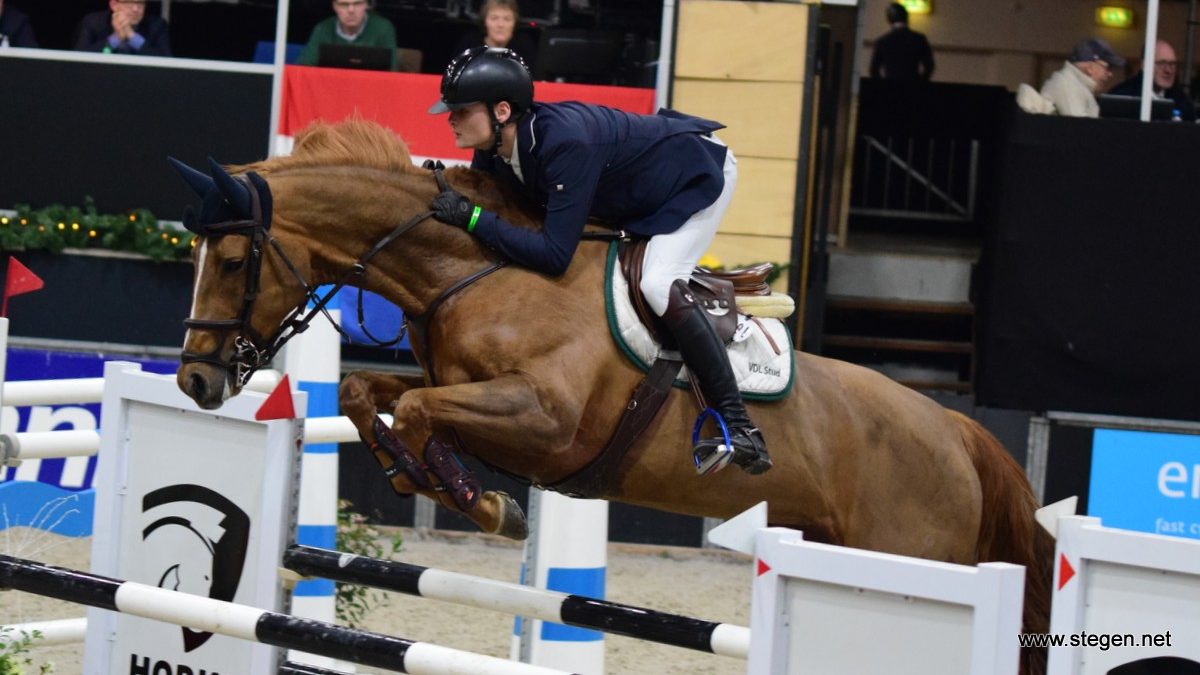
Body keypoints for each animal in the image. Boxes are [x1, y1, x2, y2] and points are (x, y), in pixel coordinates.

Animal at [169, 120, 1051, 672]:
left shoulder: (546, 420)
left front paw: (481, 502)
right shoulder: (460, 385)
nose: (196, 380)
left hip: (912, 553)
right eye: (195, 253)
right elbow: (364, 390)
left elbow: (417, 412)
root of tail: (957, 430)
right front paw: (427, 478)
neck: (473, 268)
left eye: (235, 258)